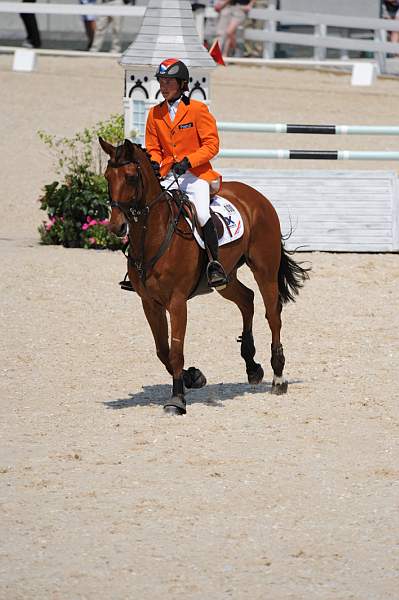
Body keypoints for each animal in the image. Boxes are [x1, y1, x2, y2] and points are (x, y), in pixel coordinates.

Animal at [98, 138, 310, 414]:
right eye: (107, 176)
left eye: (132, 177)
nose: (117, 226)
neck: (153, 234)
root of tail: (255, 196)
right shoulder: (149, 303)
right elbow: (163, 350)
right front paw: (193, 377)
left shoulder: (177, 302)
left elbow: (176, 350)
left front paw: (177, 399)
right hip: (226, 278)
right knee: (247, 299)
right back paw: (252, 366)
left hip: (264, 270)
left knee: (273, 316)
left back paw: (278, 377)